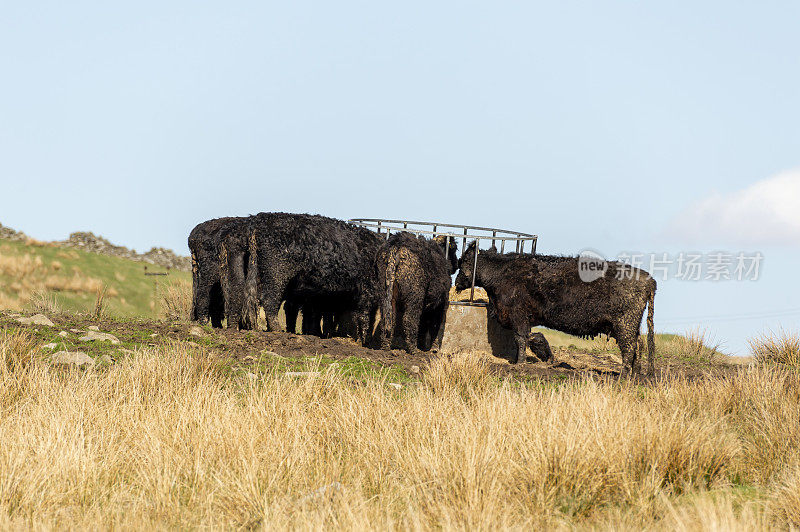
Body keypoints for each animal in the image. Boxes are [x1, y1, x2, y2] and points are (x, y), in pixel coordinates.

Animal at [456, 243, 656, 376]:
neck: (501, 273)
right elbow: (533, 336)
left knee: (629, 347)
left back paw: (624, 374)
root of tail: (648, 278)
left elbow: (520, 339)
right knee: (639, 345)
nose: (456, 282)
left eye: (463, 261)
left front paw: (519, 363)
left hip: (625, 324)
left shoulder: (518, 315)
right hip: (629, 325)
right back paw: (635, 373)